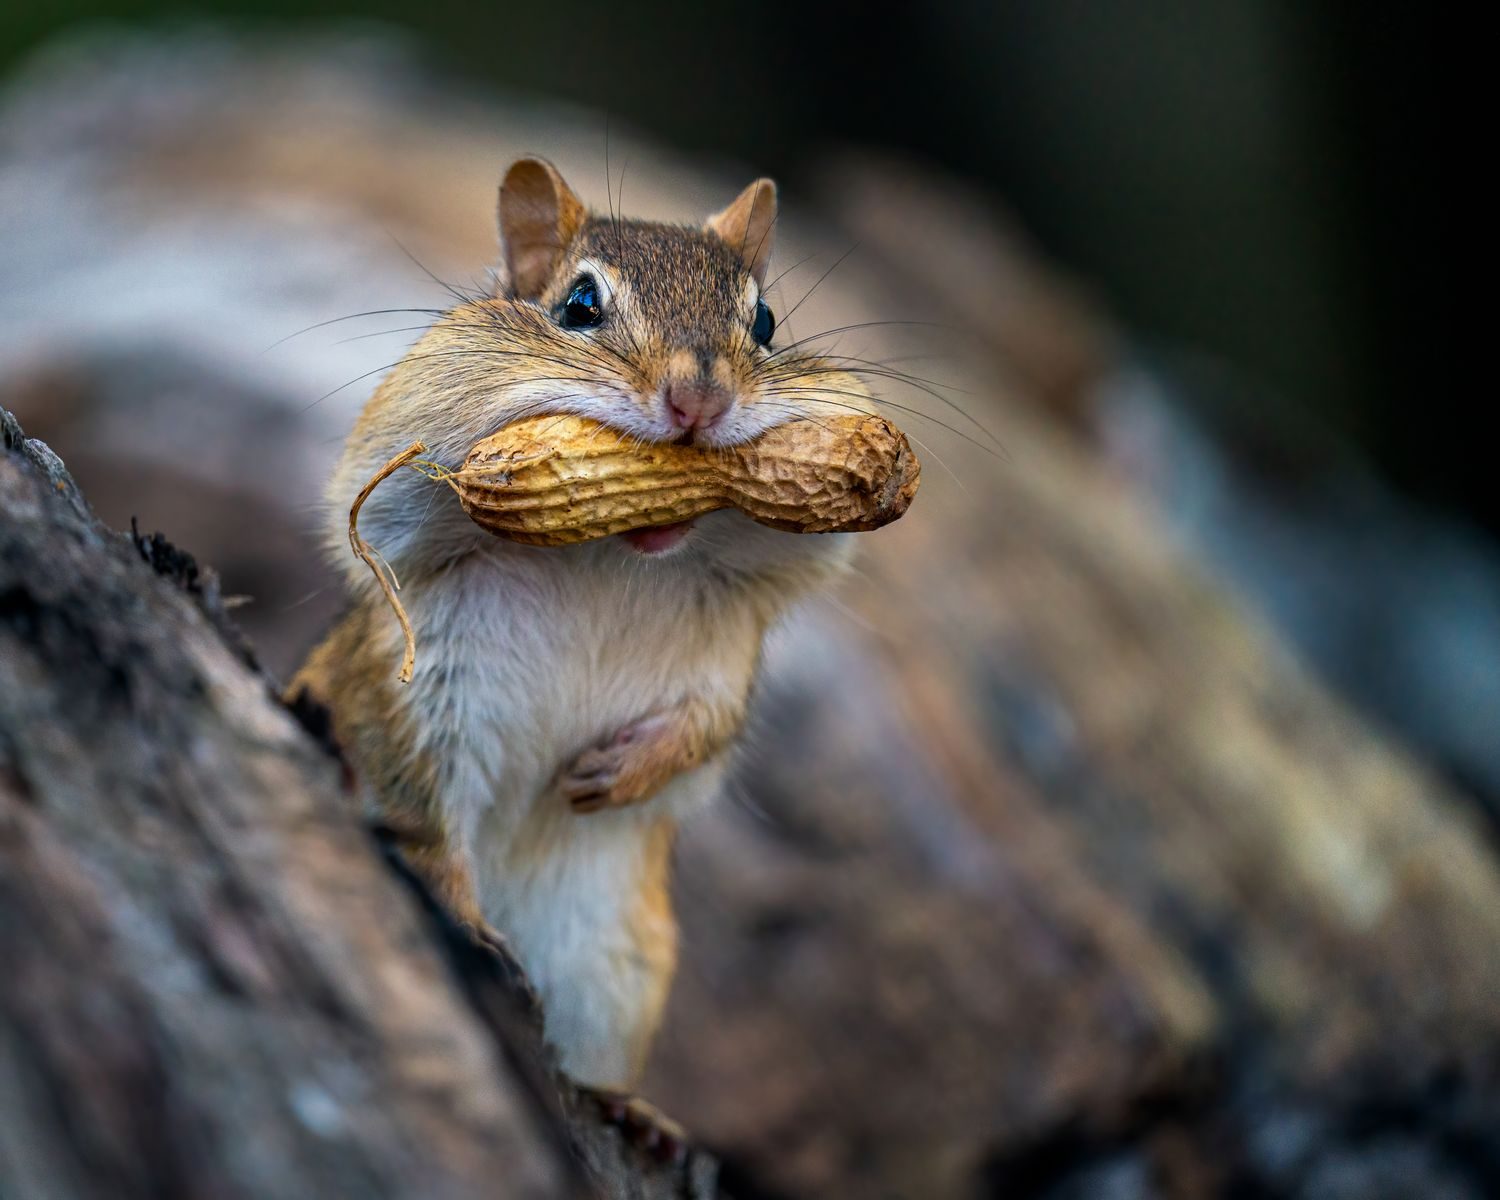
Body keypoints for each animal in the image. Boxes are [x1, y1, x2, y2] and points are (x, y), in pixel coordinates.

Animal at [290, 157, 871, 1096]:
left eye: (767, 322)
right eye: (579, 305)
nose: (699, 397)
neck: (605, 560)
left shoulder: (725, 658)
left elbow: (711, 728)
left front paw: (616, 774)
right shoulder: (403, 679)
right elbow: (418, 819)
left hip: (620, 967)